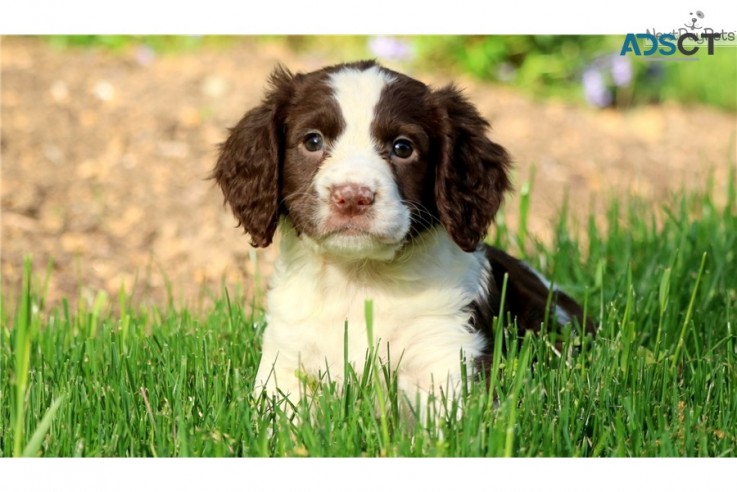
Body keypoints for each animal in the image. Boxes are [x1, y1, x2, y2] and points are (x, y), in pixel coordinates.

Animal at [213, 60, 592, 416]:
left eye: (402, 147)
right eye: (312, 141)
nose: (353, 197)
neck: (360, 279)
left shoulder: (448, 352)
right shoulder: (287, 361)